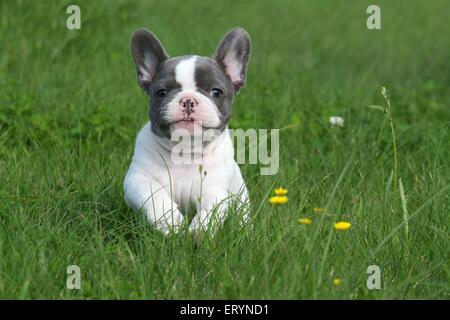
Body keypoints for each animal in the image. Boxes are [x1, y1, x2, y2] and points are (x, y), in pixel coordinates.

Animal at [123, 26, 251, 234]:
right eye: (161, 92)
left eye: (216, 92)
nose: (188, 100)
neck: (185, 152)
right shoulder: (138, 178)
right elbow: (155, 196)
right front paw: (171, 223)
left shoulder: (215, 190)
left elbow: (210, 211)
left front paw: (198, 232)